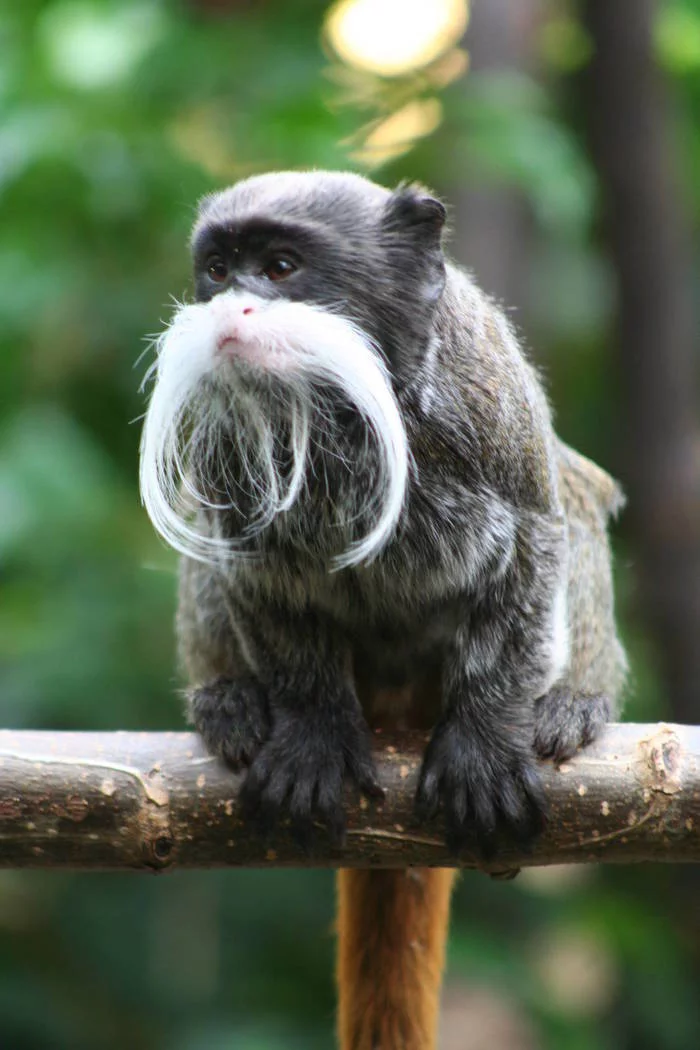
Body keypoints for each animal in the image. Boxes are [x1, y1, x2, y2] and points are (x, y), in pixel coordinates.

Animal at [138, 170, 627, 1050]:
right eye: (219, 271)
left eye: (282, 268)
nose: (232, 310)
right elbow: (261, 585)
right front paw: (312, 736)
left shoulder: (485, 396)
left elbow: (538, 534)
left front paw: (484, 746)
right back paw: (229, 697)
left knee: (576, 491)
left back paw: (574, 702)